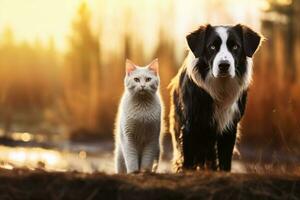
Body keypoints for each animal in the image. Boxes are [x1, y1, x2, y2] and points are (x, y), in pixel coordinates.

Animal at [170, 24, 262, 171]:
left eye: (235, 47)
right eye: (212, 47)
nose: (224, 65)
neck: (220, 87)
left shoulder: (230, 128)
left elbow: (225, 163)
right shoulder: (190, 126)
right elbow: (188, 162)